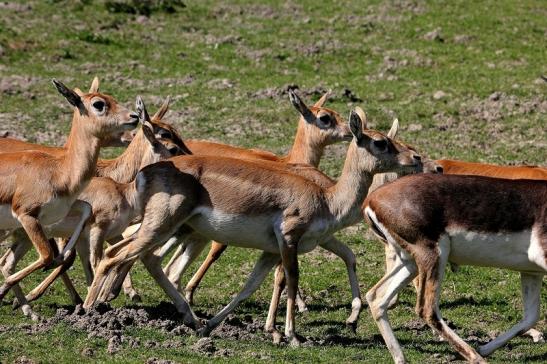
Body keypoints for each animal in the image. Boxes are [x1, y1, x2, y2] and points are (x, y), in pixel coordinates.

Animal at [0, 79, 139, 302]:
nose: (134, 117)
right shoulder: (26, 215)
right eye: (99, 104)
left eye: (111, 97)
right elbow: (47, 255)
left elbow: (83, 217)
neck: (59, 171)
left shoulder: (57, 213)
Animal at [84, 109, 424, 344]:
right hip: (162, 226)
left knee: (135, 256)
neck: (326, 197)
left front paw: (213, 325)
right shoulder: (289, 239)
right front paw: (292, 336)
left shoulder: (271, 251)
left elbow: (247, 288)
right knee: (117, 256)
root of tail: (146, 172)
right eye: (380, 142)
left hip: (169, 228)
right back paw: (89, 311)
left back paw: (189, 319)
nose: (416, 157)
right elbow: (292, 281)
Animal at [364, 175, 547, 362]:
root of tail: (372, 199)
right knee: (426, 309)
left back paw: (401, 358)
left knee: (376, 296)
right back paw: (476, 358)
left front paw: (484, 348)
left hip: (411, 262)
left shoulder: (531, 273)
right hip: (434, 255)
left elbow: (531, 317)